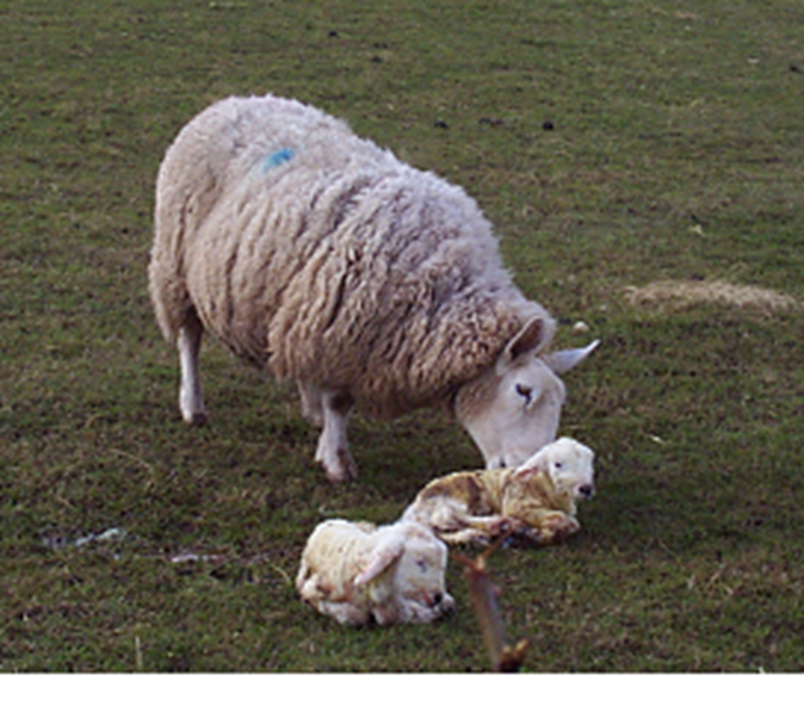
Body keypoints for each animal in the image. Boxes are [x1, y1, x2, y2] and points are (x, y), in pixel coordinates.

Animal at [148, 94, 599, 481]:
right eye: (523, 391)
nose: (536, 471)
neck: (441, 295)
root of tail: (234, 100)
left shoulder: (334, 328)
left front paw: (325, 439)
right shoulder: (344, 330)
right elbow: (340, 403)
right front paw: (337, 462)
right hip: (176, 265)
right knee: (189, 338)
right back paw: (193, 405)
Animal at [402, 437, 595, 546]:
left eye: (590, 462)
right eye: (557, 464)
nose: (586, 489)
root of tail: (412, 513)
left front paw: (536, 534)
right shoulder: (517, 505)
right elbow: (569, 522)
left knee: (444, 531)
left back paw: (480, 534)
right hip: (458, 494)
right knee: (447, 517)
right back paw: (500, 523)